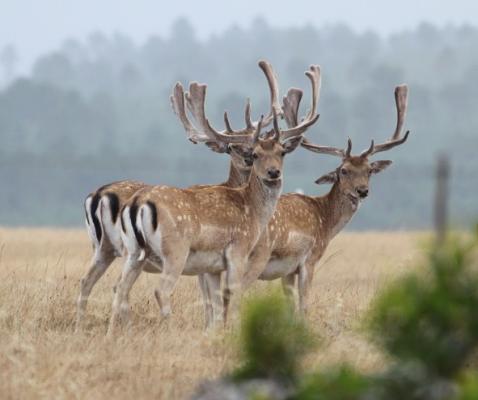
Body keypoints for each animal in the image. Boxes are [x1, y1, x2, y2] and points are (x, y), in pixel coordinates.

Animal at [106, 65, 320, 334]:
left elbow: (217, 304)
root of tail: (136, 204)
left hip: (133, 252)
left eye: (282, 152)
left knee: (119, 288)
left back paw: (112, 335)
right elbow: (233, 297)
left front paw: (215, 333)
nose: (273, 173)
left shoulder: (212, 267)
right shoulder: (238, 251)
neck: (254, 212)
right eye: (255, 154)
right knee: (160, 291)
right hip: (174, 249)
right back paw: (171, 330)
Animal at [202, 85, 410, 324]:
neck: (325, 220)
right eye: (343, 170)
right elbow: (303, 306)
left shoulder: (287, 271)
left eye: (369, 170)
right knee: (231, 294)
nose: (362, 191)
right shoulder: (309, 259)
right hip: (253, 257)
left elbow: (289, 306)